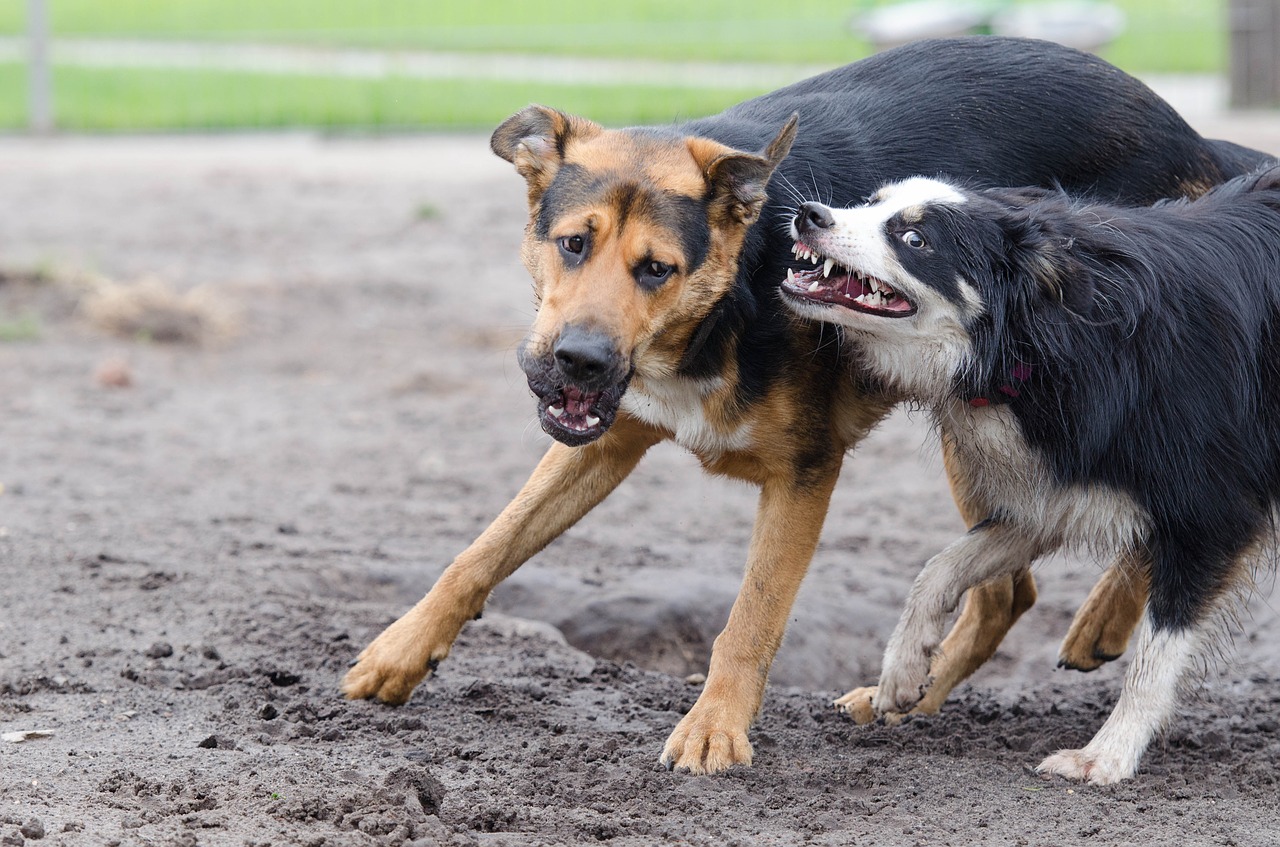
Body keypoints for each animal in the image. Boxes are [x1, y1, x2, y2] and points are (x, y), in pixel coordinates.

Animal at [773, 168, 1280, 788]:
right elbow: (939, 567)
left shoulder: (1215, 502)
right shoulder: (1062, 478)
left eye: (916, 240)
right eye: (872, 202)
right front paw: (901, 676)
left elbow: (1158, 650)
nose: (809, 214)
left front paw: (1103, 757)